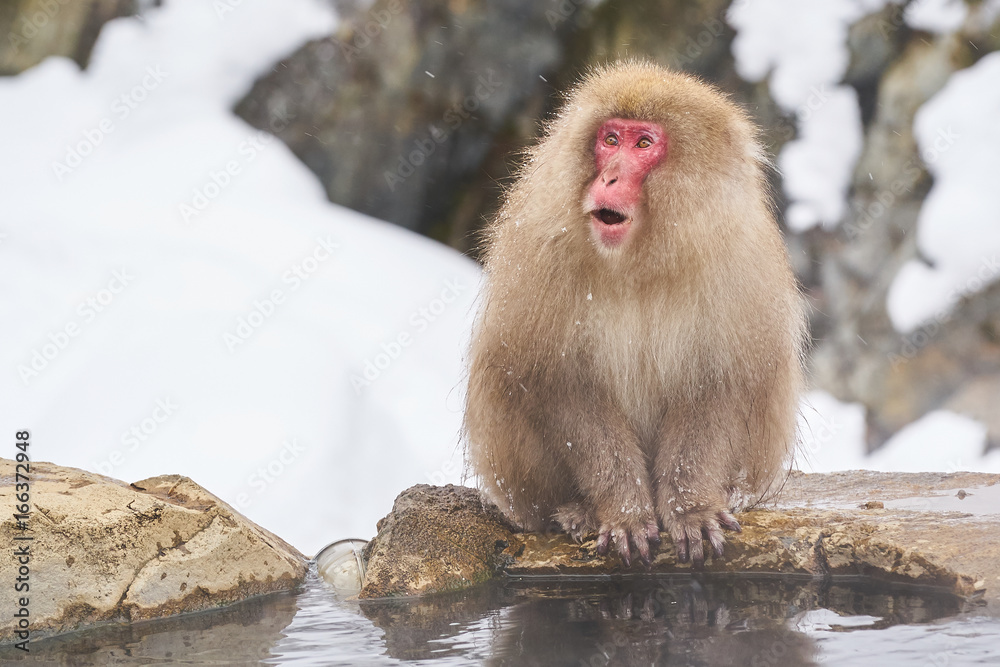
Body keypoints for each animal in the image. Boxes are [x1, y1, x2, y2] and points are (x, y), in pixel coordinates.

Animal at [463, 60, 807, 568]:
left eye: (643, 144)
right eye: (610, 139)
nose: (607, 178)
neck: (640, 259)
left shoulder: (738, 260)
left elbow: (719, 382)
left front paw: (690, 508)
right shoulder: (539, 249)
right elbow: (559, 382)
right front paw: (623, 512)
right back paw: (577, 510)